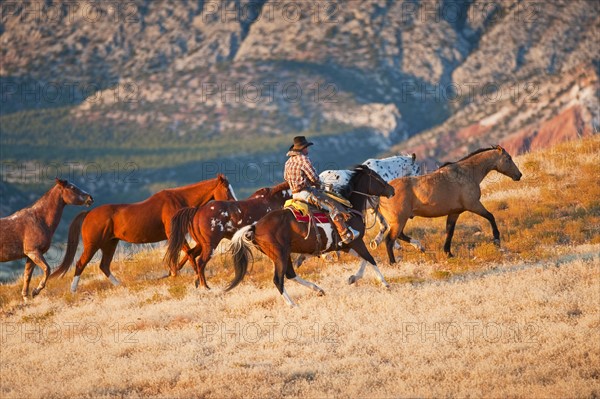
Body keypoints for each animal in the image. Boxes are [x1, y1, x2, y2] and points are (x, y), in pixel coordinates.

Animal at [50, 173, 236, 292]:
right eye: (227, 190)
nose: (234, 205)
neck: (178, 200)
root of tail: (88, 213)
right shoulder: (175, 233)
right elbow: (187, 253)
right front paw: (193, 276)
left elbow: (187, 252)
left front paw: (173, 273)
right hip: (93, 245)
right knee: (81, 263)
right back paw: (73, 290)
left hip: (110, 244)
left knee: (104, 265)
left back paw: (120, 285)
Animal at [225, 167, 394, 308]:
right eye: (377, 177)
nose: (391, 189)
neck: (350, 210)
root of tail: (255, 227)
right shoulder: (356, 241)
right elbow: (370, 258)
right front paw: (385, 283)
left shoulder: (347, 246)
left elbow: (364, 260)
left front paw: (352, 278)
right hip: (280, 255)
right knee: (278, 280)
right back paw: (294, 305)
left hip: (282, 255)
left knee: (290, 274)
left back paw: (318, 289)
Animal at [382, 144, 524, 262]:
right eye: (508, 158)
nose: (519, 175)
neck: (466, 173)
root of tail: (386, 193)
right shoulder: (473, 205)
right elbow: (491, 217)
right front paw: (496, 240)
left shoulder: (454, 212)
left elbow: (449, 231)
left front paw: (448, 253)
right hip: (399, 220)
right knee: (389, 240)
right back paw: (393, 262)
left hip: (400, 220)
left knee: (399, 235)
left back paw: (420, 247)